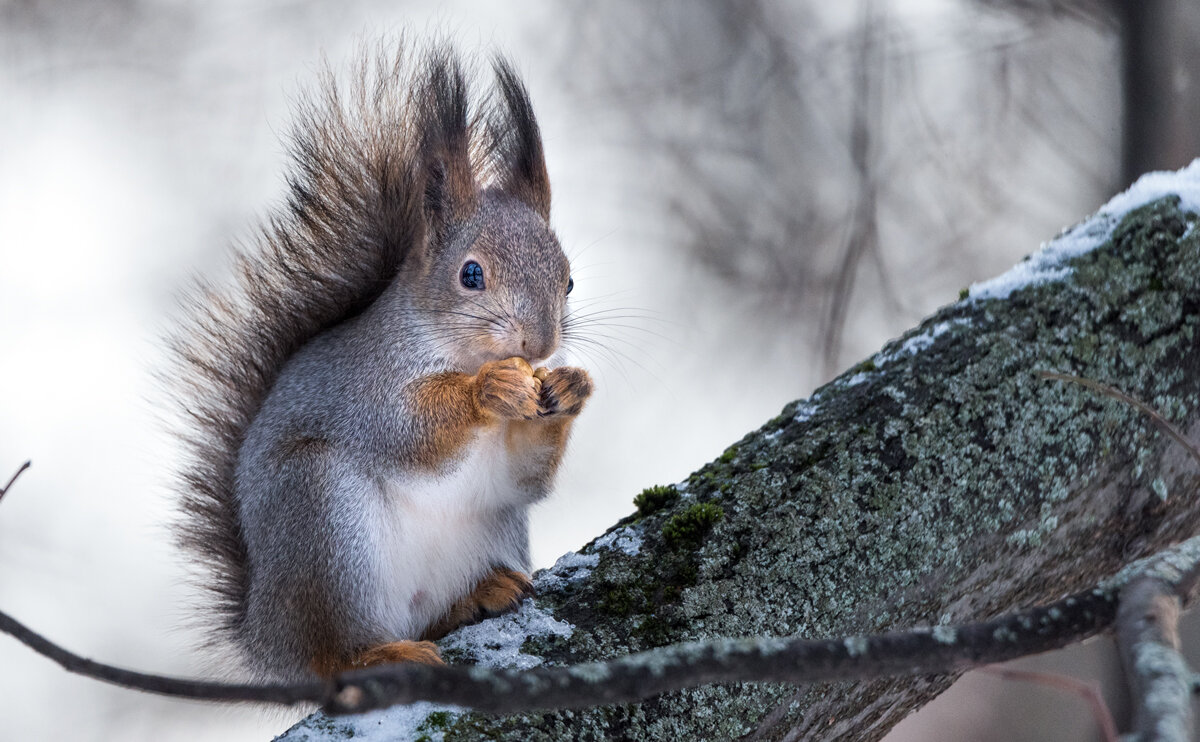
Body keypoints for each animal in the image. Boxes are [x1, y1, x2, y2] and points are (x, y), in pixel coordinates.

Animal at [171, 43, 592, 677]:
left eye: (568, 280)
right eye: (471, 275)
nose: (539, 345)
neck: (458, 352)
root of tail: (265, 638)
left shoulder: (512, 472)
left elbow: (524, 479)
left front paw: (569, 387)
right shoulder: (368, 389)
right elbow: (409, 432)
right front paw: (489, 390)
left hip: (492, 529)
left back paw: (478, 596)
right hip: (321, 515)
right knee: (333, 655)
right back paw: (376, 654)